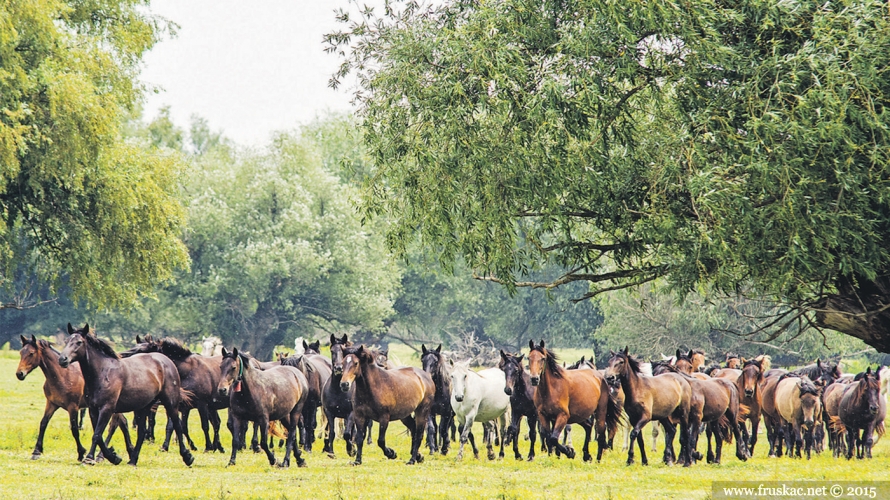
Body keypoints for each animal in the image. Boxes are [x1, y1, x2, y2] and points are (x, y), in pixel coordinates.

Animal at [16, 334, 133, 462]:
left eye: (31, 353)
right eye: (21, 352)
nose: (19, 374)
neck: (63, 376)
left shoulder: (73, 407)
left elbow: (74, 429)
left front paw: (81, 453)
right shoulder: (51, 404)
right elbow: (43, 423)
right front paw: (36, 451)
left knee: (114, 425)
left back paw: (103, 455)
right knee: (122, 423)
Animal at [57, 322, 194, 466]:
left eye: (79, 342)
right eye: (66, 341)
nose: (62, 359)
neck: (103, 373)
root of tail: (166, 361)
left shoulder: (107, 408)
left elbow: (97, 435)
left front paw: (90, 458)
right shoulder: (93, 410)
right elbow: (98, 435)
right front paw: (113, 457)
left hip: (170, 403)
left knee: (177, 425)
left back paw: (187, 456)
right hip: (142, 408)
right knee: (141, 432)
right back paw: (133, 460)